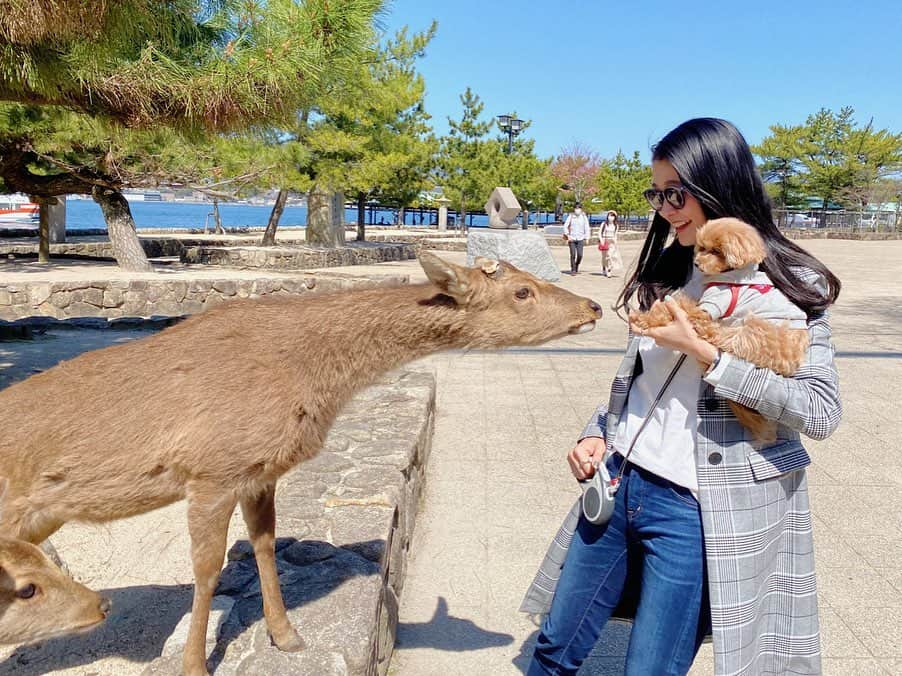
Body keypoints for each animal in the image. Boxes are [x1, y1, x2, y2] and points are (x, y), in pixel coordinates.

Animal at [1, 251, 608, 672]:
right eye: (522, 291)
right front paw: (195, 665)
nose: (594, 306)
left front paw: (287, 635)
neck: (317, 377)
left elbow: (266, 546)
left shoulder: (258, 472)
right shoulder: (211, 470)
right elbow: (206, 569)